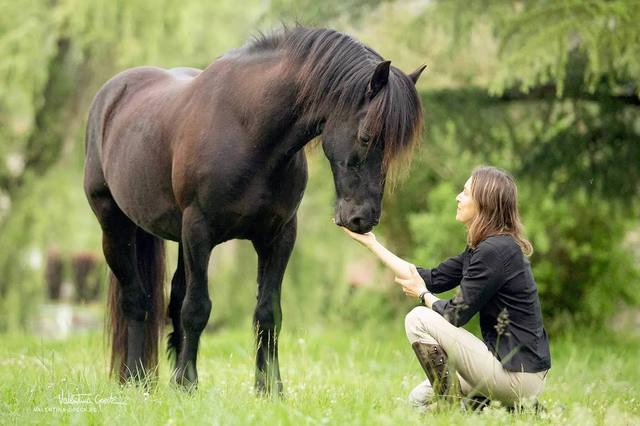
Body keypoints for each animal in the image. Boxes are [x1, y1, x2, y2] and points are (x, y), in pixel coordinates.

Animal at [83, 26, 425, 394]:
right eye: (365, 136)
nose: (363, 219)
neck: (249, 130)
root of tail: (111, 95)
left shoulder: (278, 237)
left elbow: (267, 312)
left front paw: (270, 388)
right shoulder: (198, 231)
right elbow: (197, 308)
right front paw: (189, 384)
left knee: (173, 298)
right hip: (115, 227)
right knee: (137, 301)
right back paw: (135, 379)